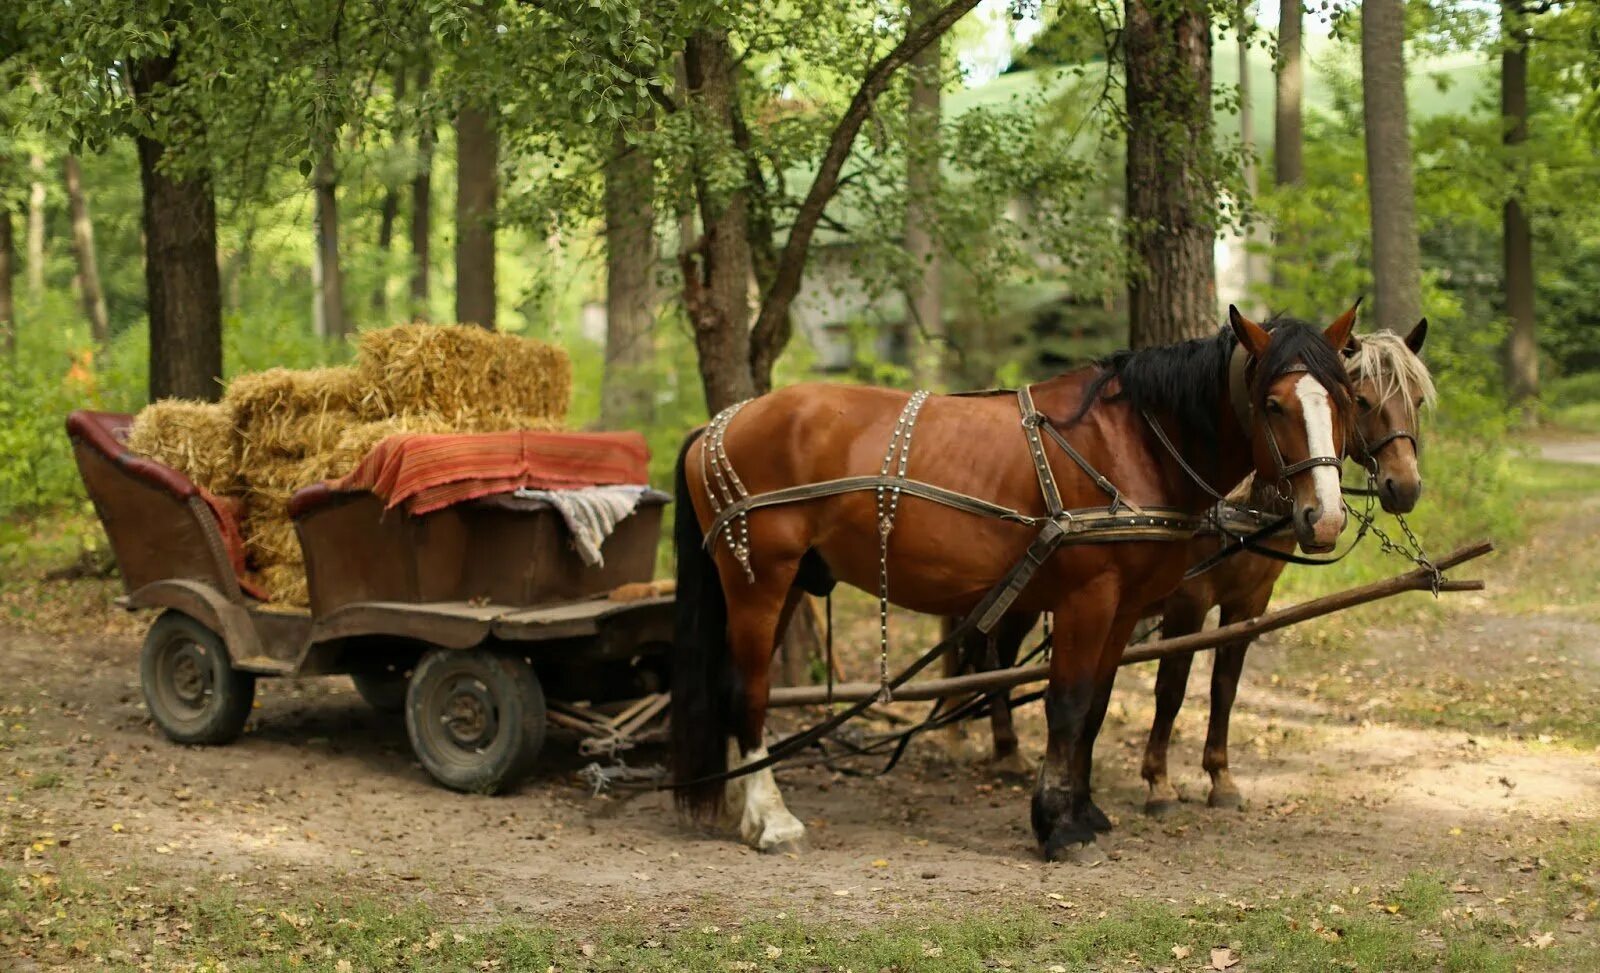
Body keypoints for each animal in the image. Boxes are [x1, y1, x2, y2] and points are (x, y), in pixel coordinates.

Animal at [668, 305, 1356, 857]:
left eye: (1344, 400)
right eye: (1273, 404)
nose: (1323, 518)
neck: (1134, 441)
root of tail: (718, 424)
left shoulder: (1126, 606)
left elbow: (1097, 707)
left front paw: (1085, 811)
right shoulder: (1089, 598)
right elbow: (1068, 704)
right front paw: (1057, 825)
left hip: (781, 586)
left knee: (734, 687)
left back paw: (745, 809)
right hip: (758, 579)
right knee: (748, 691)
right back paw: (773, 819)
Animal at [940, 321, 1433, 812]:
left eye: (1416, 400)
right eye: (1363, 400)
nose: (1405, 486)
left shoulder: (1250, 602)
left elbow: (1225, 686)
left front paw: (1220, 777)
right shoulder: (1187, 601)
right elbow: (1171, 686)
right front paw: (1158, 781)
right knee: (990, 652)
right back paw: (1001, 747)